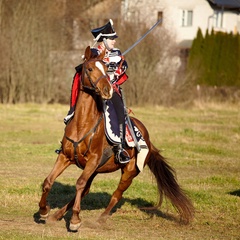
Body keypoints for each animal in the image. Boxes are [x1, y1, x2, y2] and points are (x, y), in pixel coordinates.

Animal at [38, 46, 195, 232]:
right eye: (89, 69)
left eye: (107, 70)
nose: (107, 90)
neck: (82, 124)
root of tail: (149, 141)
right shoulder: (65, 157)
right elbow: (49, 181)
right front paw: (43, 210)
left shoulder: (93, 160)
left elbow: (79, 183)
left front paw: (75, 219)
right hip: (96, 170)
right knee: (86, 190)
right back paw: (57, 215)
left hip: (128, 173)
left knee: (116, 195)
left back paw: (100, 219)